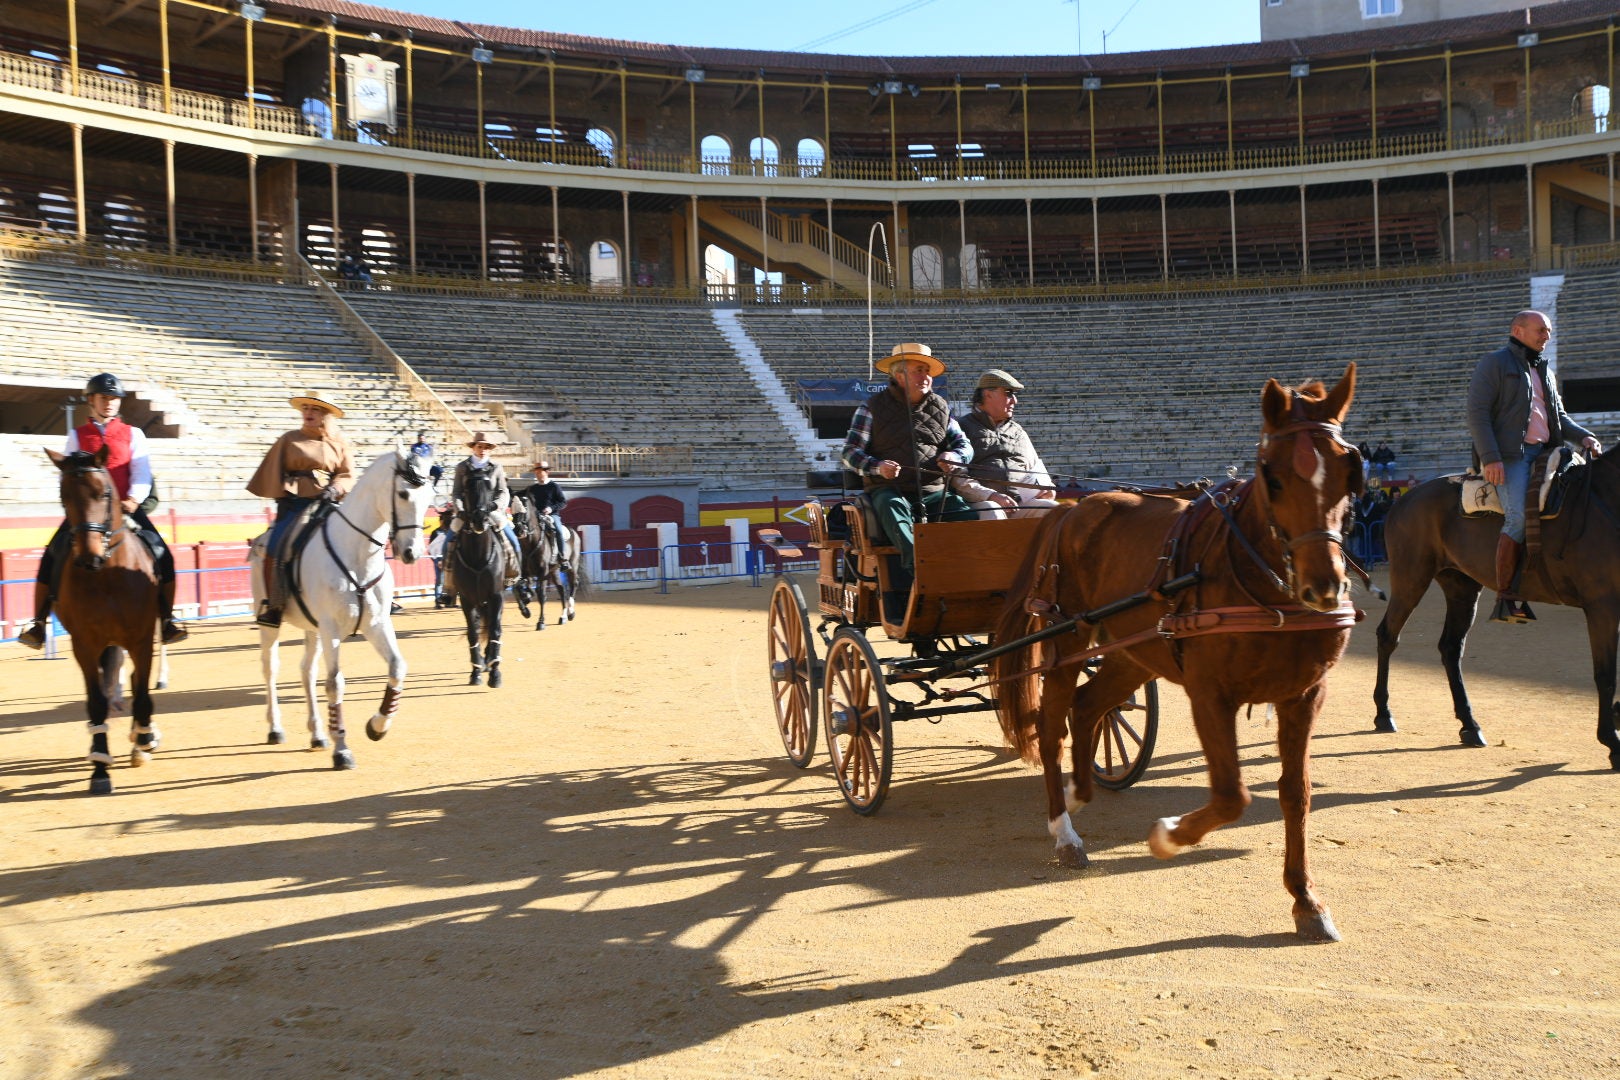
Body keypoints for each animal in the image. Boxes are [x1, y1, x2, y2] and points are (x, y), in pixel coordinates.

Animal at [43, 446, 161, 793]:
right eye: (63, 495)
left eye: (104, 492)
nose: (88, 557)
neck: (107, 574)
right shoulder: (85, 645)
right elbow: (96, 701)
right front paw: (99, 768)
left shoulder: (142, 639)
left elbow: (142, 693)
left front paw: (144, 739)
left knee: (134, 683)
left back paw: (142, 741)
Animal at [249, 446, 437, 767]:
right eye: (402, 493)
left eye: (429, 497)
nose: (412, 553)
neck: (358, 554)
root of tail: (259, 540)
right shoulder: (332, 628)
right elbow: (335, 683)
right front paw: (342, 750)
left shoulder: (376, 624)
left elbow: (397, 667)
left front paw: (377, 725)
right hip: (270, 624)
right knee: (270, 668)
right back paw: (275, 728)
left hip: (312, 629)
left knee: (307, 671)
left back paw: (317, 734)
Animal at [991, 362, 1360, 939]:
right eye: (1271, 475)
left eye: (1349, 471)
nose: (1323, 586)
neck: (1260, 582)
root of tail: (1072, 507)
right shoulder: (1210, 694)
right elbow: (1232, 795)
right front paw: (1167, 836)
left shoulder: (1304, 695)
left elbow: (1294, 793)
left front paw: (1306, 901)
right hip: (1065, 637)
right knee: (1052, 725)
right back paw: (1064, 828)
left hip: (1132, 650)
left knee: (1088, 708)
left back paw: (1079, 789)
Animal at [1373, 453, 1620, 773]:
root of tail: (1405, 498)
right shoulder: (1602, 605)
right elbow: (1606, 675)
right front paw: (1612, 743)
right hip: (1411, 578)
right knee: (1388, 636)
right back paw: (1383, 713)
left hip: (1461, 587)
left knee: (1450, 648)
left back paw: (1469, 725)